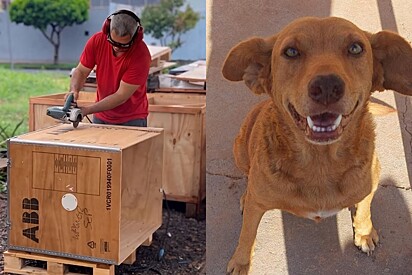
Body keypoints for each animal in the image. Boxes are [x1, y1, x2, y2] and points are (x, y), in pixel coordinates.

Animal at [222, 16, 412, 274]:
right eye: (291, 51)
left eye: (356, 48)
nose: (327, 86)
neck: (320, 162)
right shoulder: (256, 207)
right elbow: (247, 234)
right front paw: (241, 262)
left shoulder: (370, 183)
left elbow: (364, 208)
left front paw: (364, 232)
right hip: (240, 149)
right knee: (247, 177)